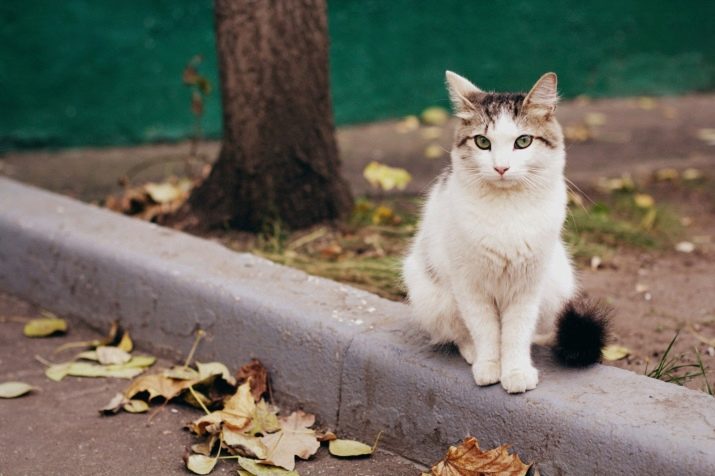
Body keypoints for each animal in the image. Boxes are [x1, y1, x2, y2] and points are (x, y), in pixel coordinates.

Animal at [402, 70, 608, 394]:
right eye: (482, 142)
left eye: (523, 141)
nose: (501, 168)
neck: (507, 208)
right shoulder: (470, 285)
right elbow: (485, 330)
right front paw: (489, 366)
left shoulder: (528, 286)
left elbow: (516, 333)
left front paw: (516, 371)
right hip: (429, 293)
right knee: (458, 332)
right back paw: (472, 353)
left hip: (557, 283)